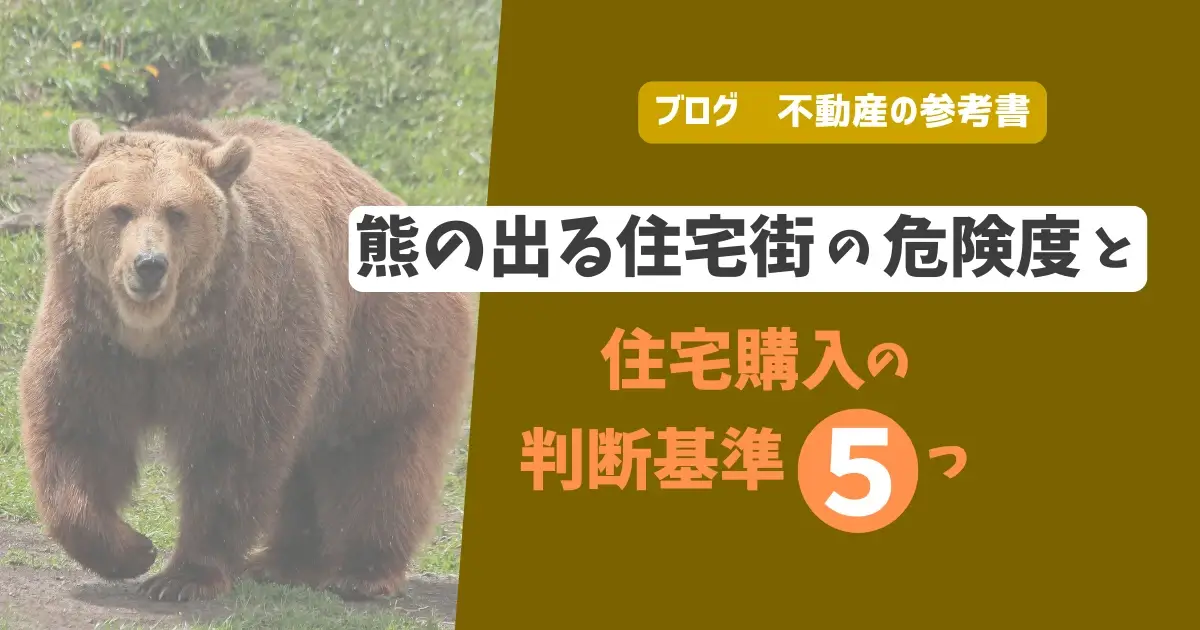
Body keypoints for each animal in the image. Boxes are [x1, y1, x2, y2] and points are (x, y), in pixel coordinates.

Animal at [18, 113, 475, 602]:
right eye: (120, 210)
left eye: (176, 213)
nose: (149, 265)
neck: (158, 333)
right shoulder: (91, 334)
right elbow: (79, 432)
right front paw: (131, 550)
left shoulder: (242, 334)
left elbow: (230, 446)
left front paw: (183, 576)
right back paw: (285, 561)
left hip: (381, 339)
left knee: (378, 451)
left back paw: (363, 571)